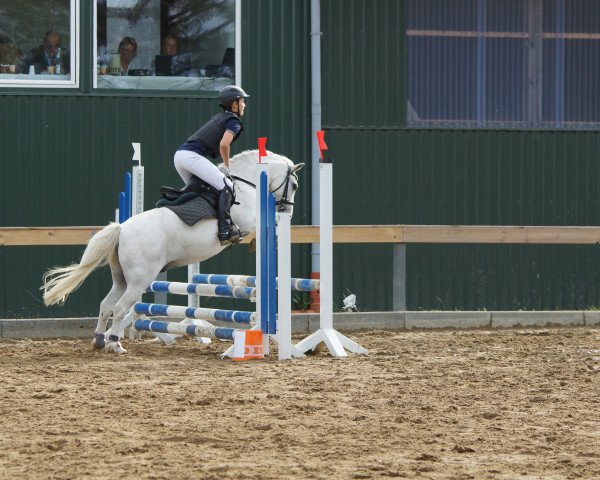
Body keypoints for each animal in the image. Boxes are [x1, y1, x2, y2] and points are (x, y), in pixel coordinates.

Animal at [41, 152, 302, 354]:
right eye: (295, 186)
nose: (287, 211)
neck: (248, 184)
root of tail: (122, 229)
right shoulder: (250, 221)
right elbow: (265, 226)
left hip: (122, 279)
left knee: (106, 305)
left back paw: (99, 342)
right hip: (139, 280)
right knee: (120, 308)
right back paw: (115, 345)